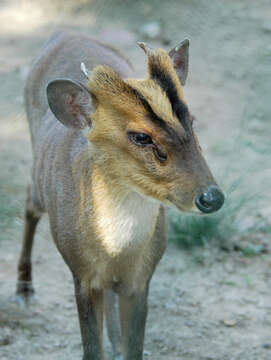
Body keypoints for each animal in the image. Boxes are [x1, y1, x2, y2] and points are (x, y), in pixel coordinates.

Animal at [16, 31, 225, 360]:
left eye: (191, 121)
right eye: (140, 136)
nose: (211, 197)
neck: (117, 251)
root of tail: (65, 34)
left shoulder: (142, 279)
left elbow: (134, 348)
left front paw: (119, 343)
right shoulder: (82, 276)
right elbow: (91, 349)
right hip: (38, 182)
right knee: (28, 203)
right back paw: (24, 290)